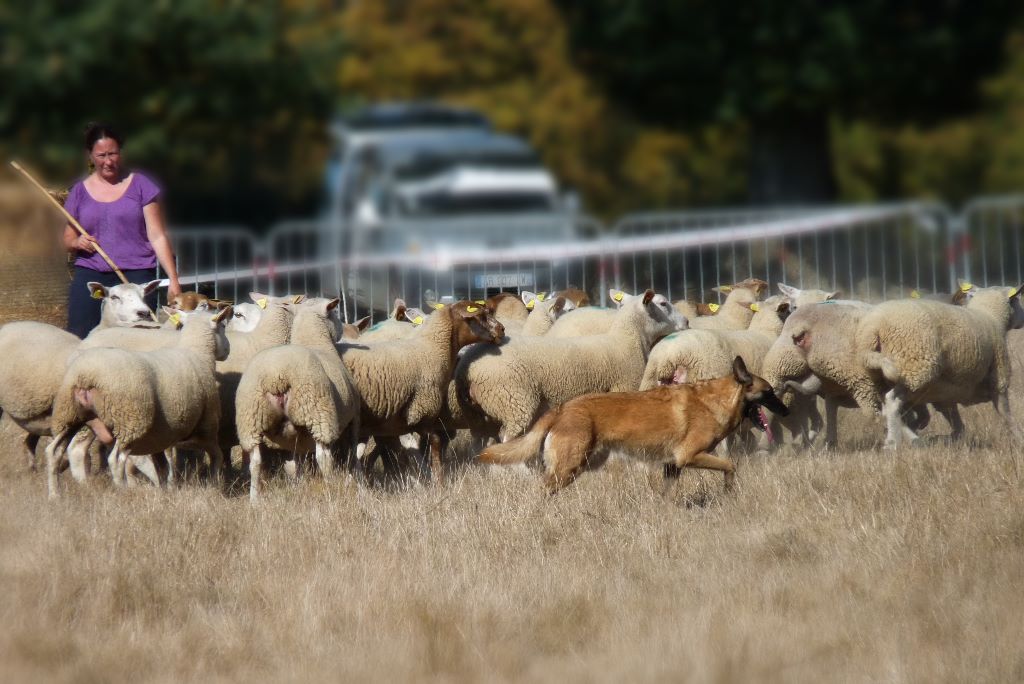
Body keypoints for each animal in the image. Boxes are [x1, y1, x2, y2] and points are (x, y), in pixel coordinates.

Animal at [45, 309, 233, 497]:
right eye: (223, 326)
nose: (228, 350)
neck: (197, 353)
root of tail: (86, 374)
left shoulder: (161, 436)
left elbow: (163, 467)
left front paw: (164, 490)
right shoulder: (206, 427)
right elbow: (216, 456)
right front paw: (214, 486)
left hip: (69, 414)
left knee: (56, 450)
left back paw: (56, 494)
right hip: (129, 421)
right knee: (116, 459)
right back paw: (122, 491)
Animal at [234, 296, 360, 499]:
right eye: (335, 313)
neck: (314, 341)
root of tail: (277, 375)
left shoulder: (296, 437)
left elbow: (296, 464)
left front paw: (298, 485)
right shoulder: (354, 416)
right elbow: (354, 450)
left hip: (250, 421)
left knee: (255, 462)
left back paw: (254, 499)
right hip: (319, 417)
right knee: (323, 458)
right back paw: (331, 490)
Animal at [477, 356, 782, 493]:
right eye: (769, 392)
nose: (787, 410)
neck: (715, 400)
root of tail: (562, 410)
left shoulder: (672, 466)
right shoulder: (690, 456)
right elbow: (730, 465)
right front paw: (729, 491)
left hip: (581, 465)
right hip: (568, 468)